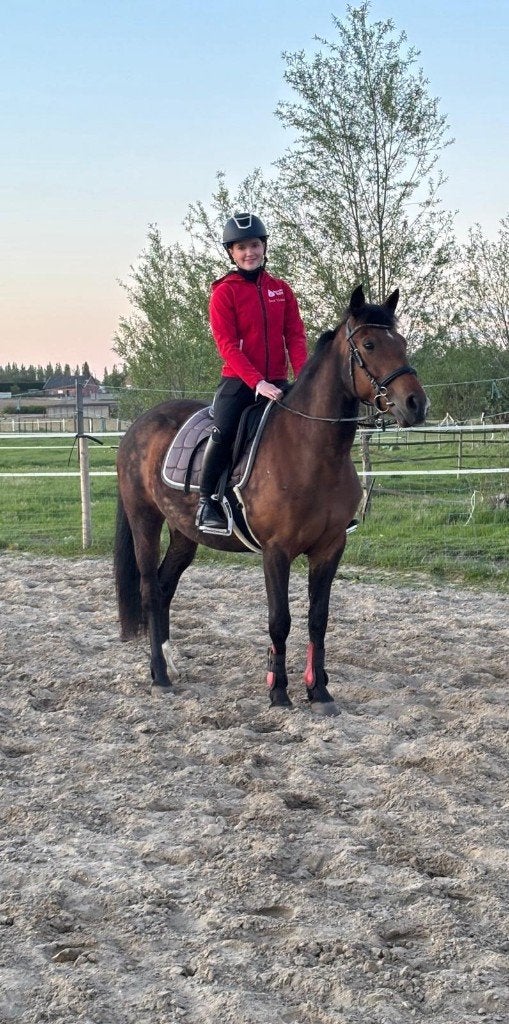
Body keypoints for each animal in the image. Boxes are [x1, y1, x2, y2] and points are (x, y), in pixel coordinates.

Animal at [114, 284, 428, 716]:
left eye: (402, 342)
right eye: (369, 343)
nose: (416, 404)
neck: (311, 450)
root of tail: (139, 424)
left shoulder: (330, 547)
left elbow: (318, 619)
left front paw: (319, 691)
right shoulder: (276, 551)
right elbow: (280, 620)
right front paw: (278, 691)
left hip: (184, 533)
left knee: (164, 588)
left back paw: (169, 664)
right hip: (144, 518)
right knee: (149, 589)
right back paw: (160, 676)